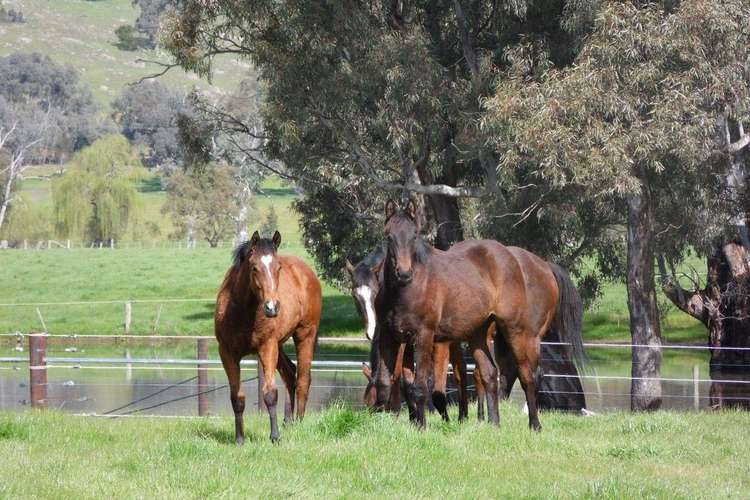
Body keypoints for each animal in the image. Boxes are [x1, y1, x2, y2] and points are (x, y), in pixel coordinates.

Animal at [216, 229, 324, 442]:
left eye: (278, 267)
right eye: (254, 268)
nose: (272, 307)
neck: (241, 312)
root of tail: (308, 273)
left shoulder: (267, 347)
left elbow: (270, 394)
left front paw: (275, 437)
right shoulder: (227, 353)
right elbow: (237, 398)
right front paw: (239, 439)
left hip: (304, 335)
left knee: (303, 379)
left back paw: (299, 423)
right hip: (279, 345)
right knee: (290, 374)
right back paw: (288, 422)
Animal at [376, 199, 588, 430]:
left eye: (414, 235)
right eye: (389, 236)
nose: (404, 273)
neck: (409, 290)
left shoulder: (424, 336)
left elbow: (420, 385)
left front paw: (422, 427)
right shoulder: (390, 337)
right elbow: (386, 383)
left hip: (520, 333)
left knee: (528, 375)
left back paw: (534, 425)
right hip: (478, 334)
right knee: (488, 372)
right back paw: (494, 423)